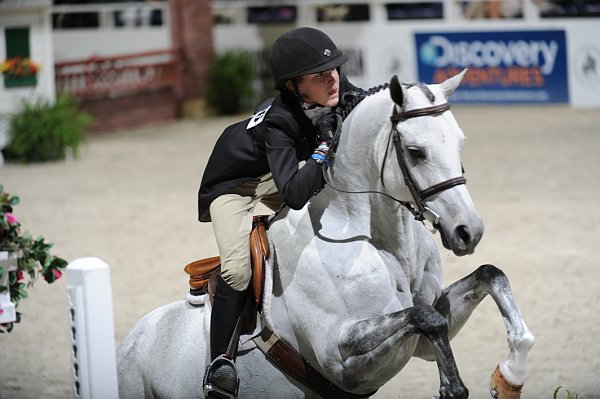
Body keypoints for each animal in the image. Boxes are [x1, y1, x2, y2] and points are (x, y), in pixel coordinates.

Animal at [118, 72, 536, 399]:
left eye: (460, 142)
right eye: (416, 151)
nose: (469, 231)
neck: (383, 241)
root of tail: (128, 344)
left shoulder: (423, 337)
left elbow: (487, 276)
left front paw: (509, 376)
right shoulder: (341, 358)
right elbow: (425, 317)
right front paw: (453, 387)